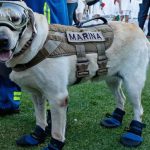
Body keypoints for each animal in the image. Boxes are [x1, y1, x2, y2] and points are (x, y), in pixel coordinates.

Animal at [0, 0, 150, 149]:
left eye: (15, 18)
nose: (2, 40)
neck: (34, 44)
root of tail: (136, 27)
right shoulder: (36, 94)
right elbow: (40, 118)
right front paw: (36, 136)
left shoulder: (58, 97)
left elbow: (56, 131)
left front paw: (54, 145)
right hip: (112, 78)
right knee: (121, 98)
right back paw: (115, 119)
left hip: (133, 83)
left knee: (139, 109)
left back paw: (134, 134)